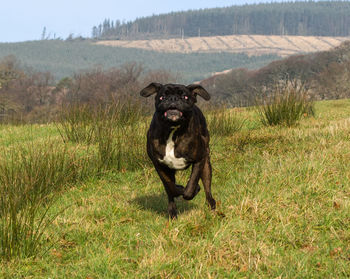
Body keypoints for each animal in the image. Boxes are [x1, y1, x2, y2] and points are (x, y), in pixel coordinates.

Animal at [139, 83, 216, 219]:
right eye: (162, 97)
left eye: (185, 97)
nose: (173, 99)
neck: (173, 130)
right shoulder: (159, 165)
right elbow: (170, 187)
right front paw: (179, 189)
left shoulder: (199, 159)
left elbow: (191, 185)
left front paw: (193, 189)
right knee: (170, 193)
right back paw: (172, 212)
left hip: (206, 164)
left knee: (207, 188)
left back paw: (211, 205)